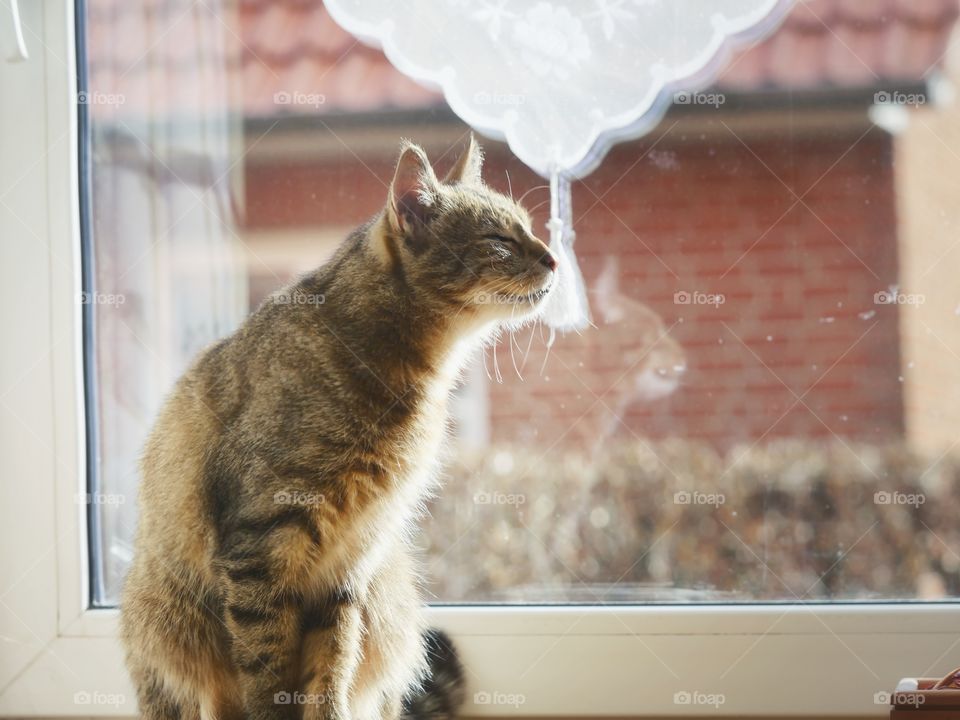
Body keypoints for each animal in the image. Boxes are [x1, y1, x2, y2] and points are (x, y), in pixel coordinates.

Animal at [121, 139, 560, 720]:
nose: (555, 257)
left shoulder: (349, 566)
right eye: (500, 241)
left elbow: (330, 672)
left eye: (528, 228)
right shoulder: (263, 547)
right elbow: (268, 676)